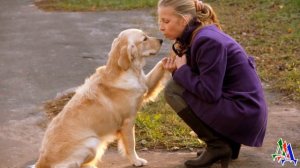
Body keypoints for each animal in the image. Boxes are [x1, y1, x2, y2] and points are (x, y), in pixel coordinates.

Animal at [33, 29, 169, 168]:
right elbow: (131, 144)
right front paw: (136, 160)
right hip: (92, 142)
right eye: (144, 39)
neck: (125, 70)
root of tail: (41, 162)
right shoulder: (128, 121)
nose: (161, 40)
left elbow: (159, 66)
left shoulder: (146, 84)